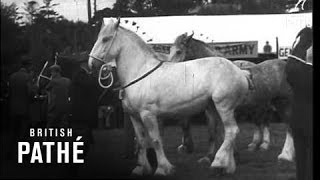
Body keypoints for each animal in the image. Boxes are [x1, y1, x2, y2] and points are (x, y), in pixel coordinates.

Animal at [89, 18, 251, 176]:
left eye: (105, 39)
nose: (91, 64)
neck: (140, 71)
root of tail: (240, 71)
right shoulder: (134, 116)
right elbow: (141, 141)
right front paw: (142, 168)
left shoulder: (148, 115)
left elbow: (155, 140)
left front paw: (163, 168)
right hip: (214, 107)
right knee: (225, 132)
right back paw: (227, 166)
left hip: (224, 106)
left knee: (232, 131)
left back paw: (218, 163)